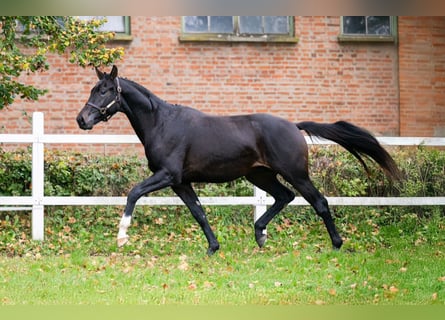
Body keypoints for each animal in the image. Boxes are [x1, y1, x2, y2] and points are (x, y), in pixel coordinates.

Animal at [76, 65, 398, 255]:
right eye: (93, 89)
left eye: (105, 90)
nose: (82, 119)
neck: (162, 123)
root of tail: (294, 126)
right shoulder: (180, 182)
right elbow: (199, 212)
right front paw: (213, 247)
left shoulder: (167, 175)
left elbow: (133, 193)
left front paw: (122, 236)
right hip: (260, 175)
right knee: (285, 197)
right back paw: (260, 235)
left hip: (295, 173)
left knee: (319, 202)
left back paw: (337, 243)